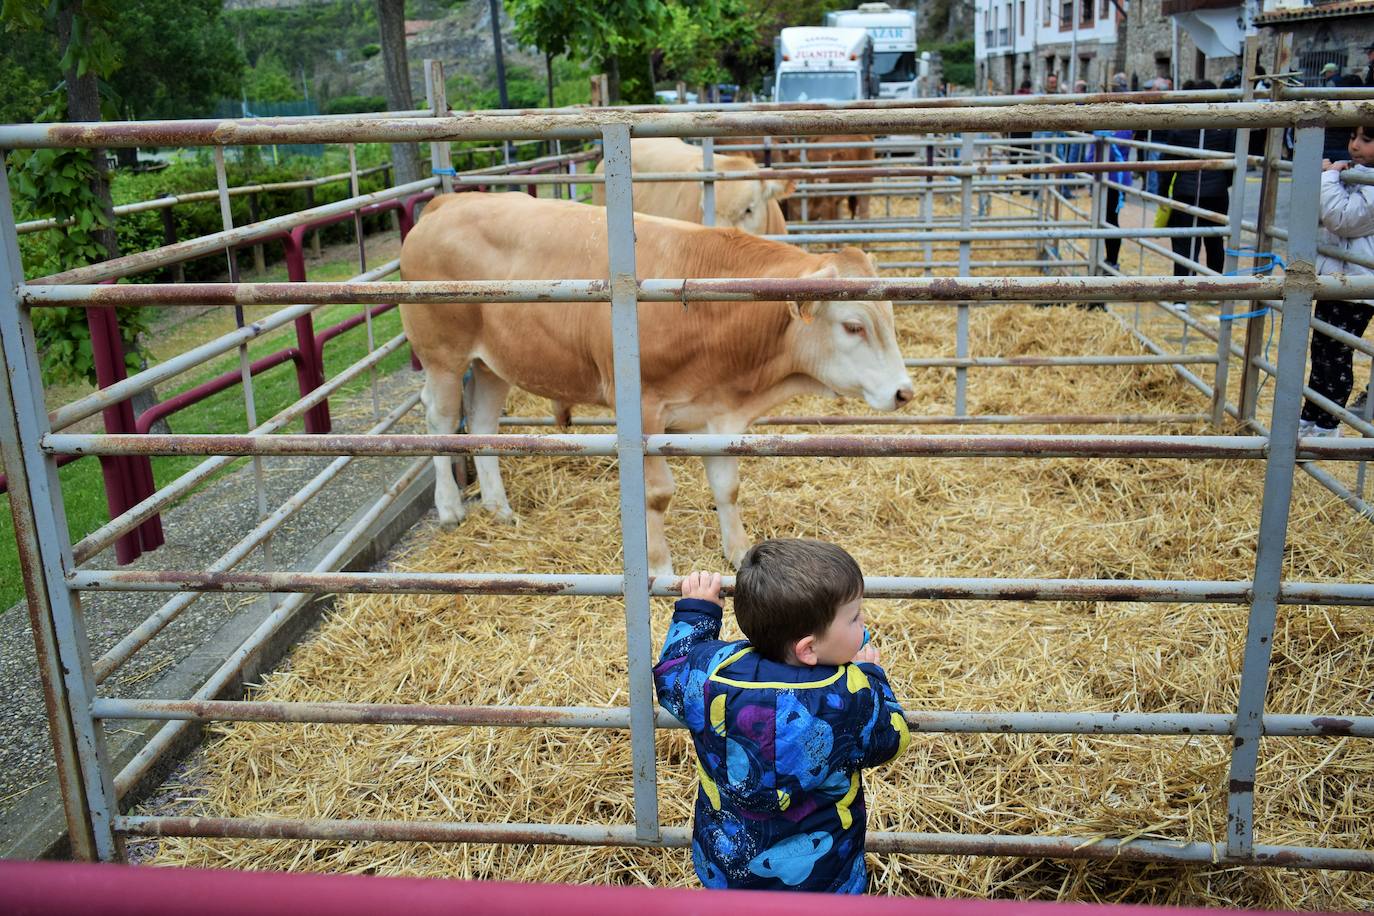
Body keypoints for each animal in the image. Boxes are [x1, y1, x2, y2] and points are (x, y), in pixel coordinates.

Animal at [398, 192, 912, 576]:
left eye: (889, 315)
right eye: (852, 326)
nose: (904, 391)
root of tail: (447, 202)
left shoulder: (716, 414)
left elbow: (727, 487)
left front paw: (738, 552)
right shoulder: (644, 409)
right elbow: (658, 494)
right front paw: (660, 569)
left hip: (494, 364)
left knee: (483, 422)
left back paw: (499, 508)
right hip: (443, 357)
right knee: (439, 421)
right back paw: (451, 510)